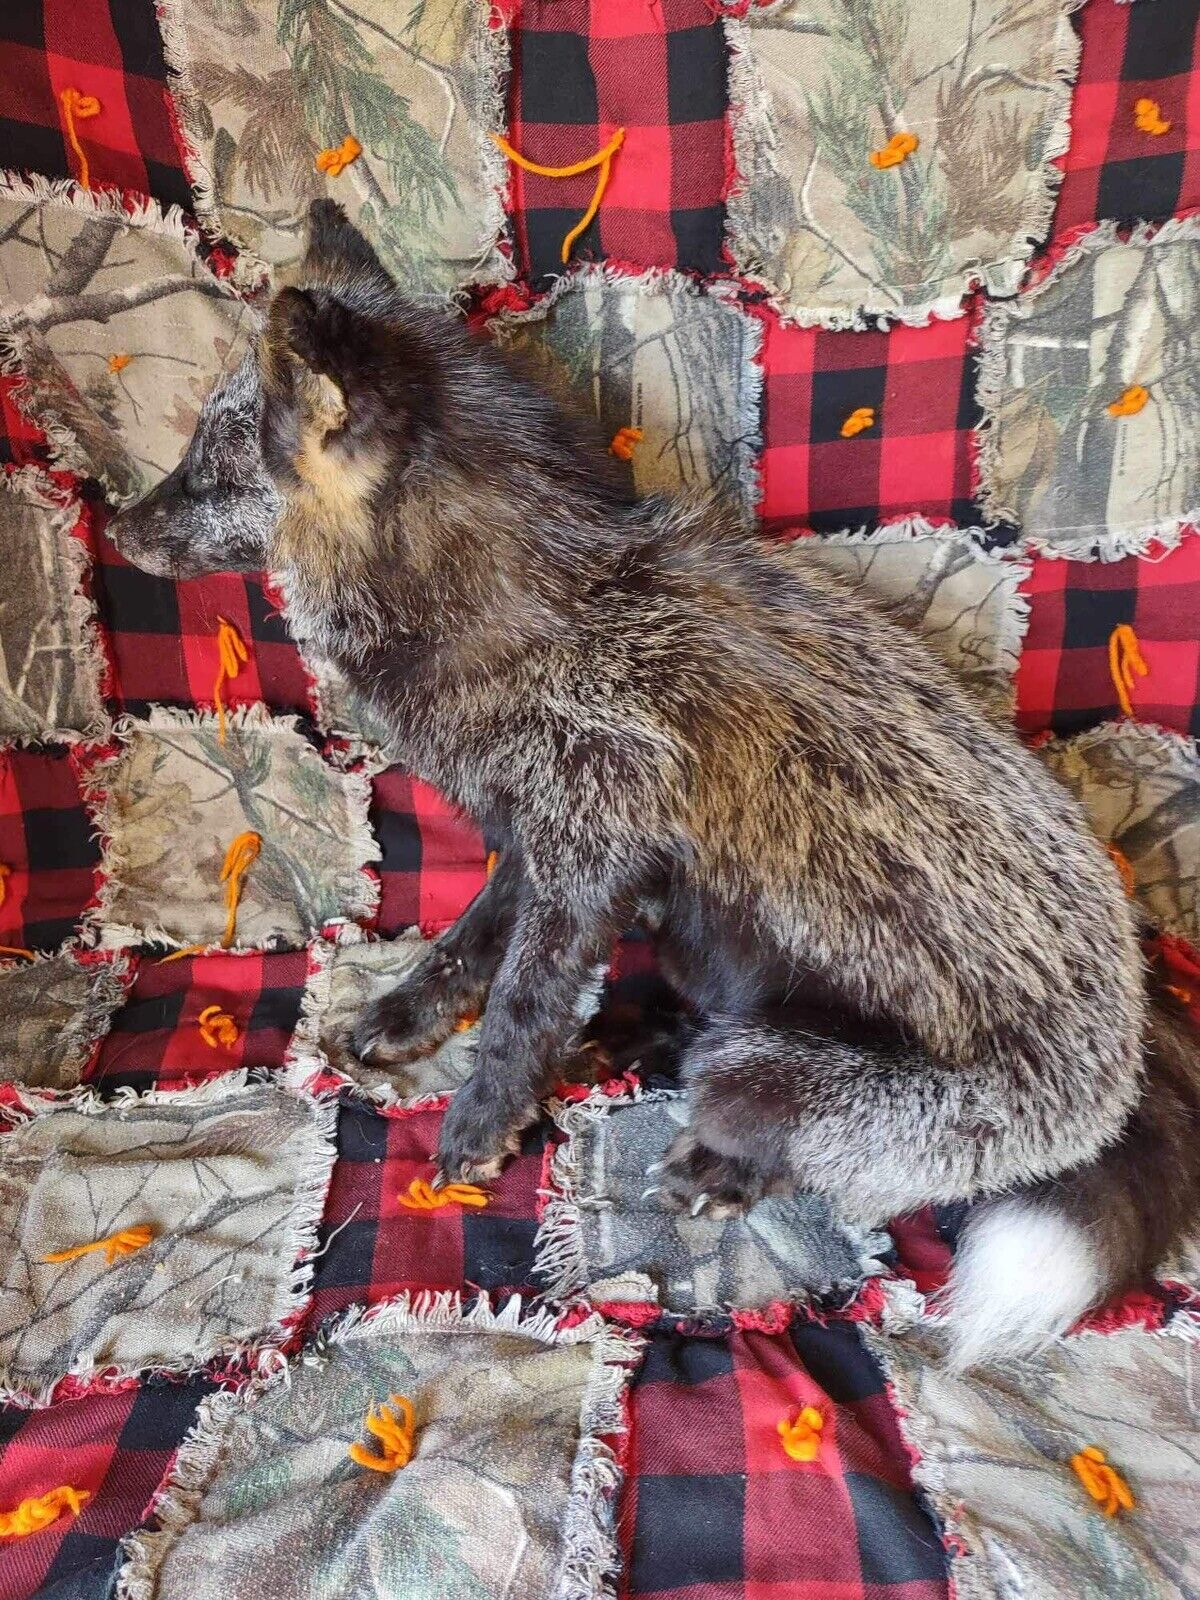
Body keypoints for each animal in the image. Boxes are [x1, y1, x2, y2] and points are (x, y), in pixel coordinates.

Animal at [112, 201, 1200, 1366]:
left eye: (206, 473)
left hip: (779, 1063)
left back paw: (718, 1167)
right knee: (706, 1028)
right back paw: (641, 1035)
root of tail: (1135, 1043)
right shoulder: (539, 835)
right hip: (703, 935)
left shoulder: (584, 851)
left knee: (790, 1133)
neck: (549, 614)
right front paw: (407, 1014)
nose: (117, 525)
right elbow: (465, 947)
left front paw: (478, 1126)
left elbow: (517, 1008)